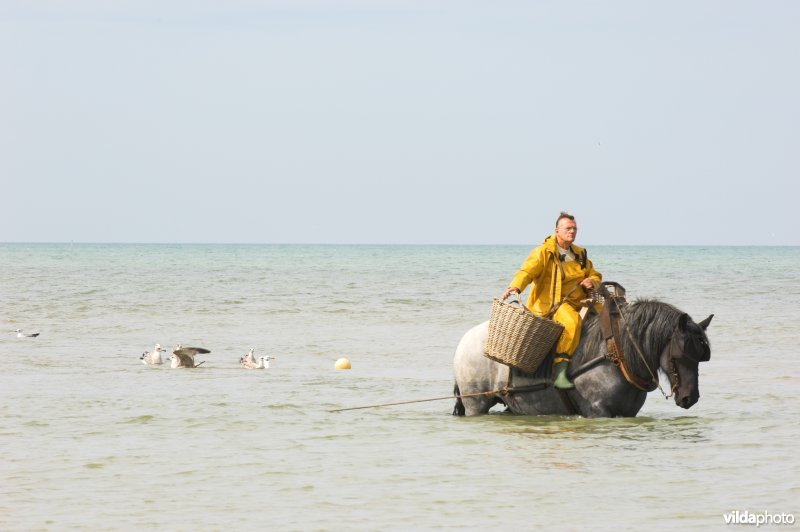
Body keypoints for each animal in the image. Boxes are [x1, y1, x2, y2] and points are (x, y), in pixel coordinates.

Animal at [452, 298, 713, 418]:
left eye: (700, 358)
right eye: (678, 356)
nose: (690, 397)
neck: (616, 356)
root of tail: (464, 341)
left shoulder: (629, 414)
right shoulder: (598, 412)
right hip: (476, 404)